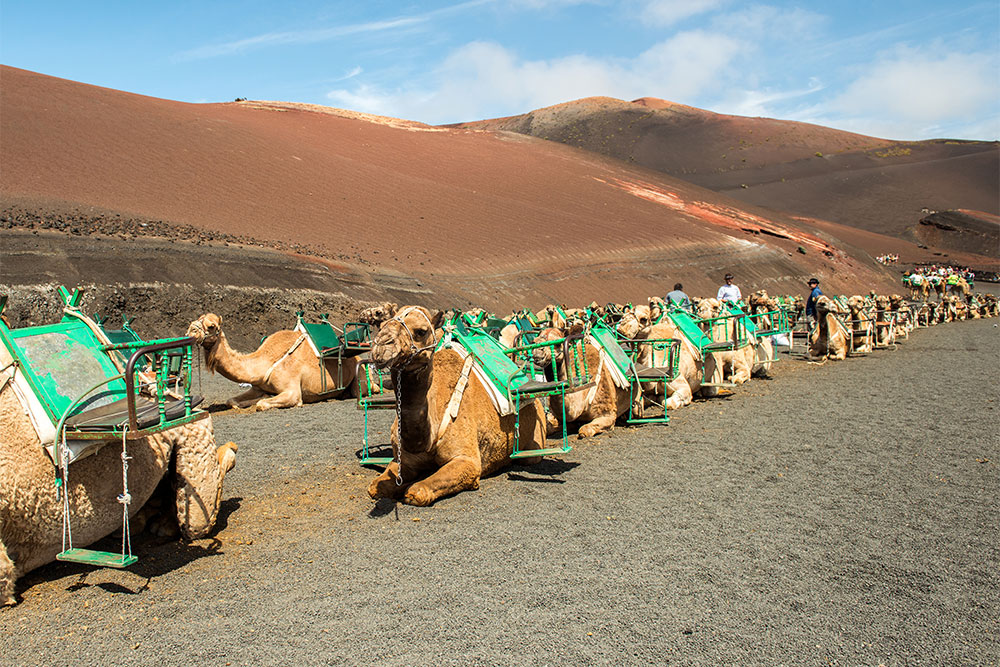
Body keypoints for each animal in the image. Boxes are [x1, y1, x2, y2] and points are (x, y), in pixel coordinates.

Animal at [188, 314, 360, 412]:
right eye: (193, 322)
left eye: (211, 326)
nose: (190, 331)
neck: (266, 362)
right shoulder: (256, 386)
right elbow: (232, 401)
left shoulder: (293, 392)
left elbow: (262, 403)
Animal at [366, 306, 548, 504]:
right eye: (382, 325)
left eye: (421, 331)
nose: (381, 346)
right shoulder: (403, 459)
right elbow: (374, 487)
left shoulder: (467, 461)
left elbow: (418, 492)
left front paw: (410, 487)